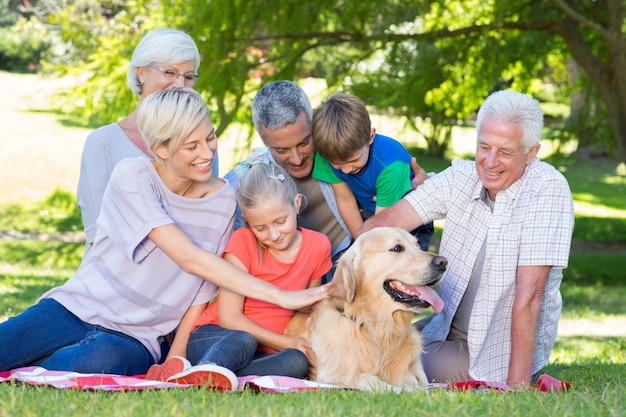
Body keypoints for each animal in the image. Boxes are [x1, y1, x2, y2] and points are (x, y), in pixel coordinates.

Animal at [282, 224, 444, 390]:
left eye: (418, 245)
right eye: (397, 248)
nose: (443, 262)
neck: (380, 331)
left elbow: (414, 383)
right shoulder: (332, 376)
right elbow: (372, 380)